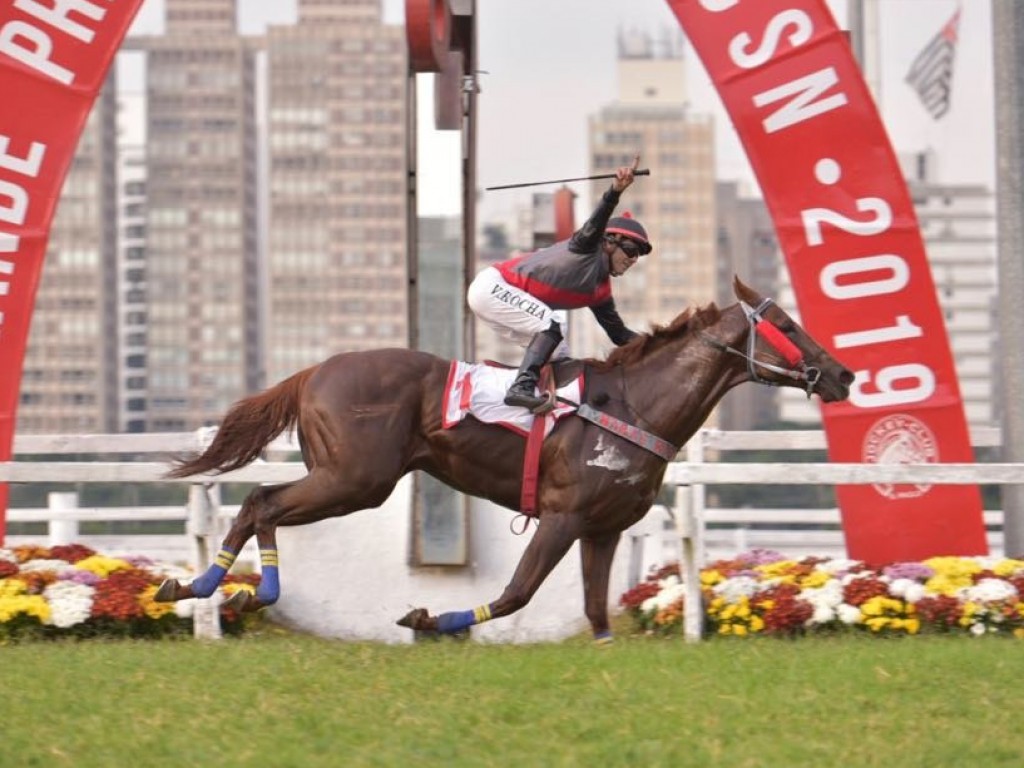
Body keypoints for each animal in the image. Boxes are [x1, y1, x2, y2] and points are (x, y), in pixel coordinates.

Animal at [153, 276, 856, 643]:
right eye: (788, 326)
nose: (843, 374)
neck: (637, 406)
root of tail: (313, 371)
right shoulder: (562, 517)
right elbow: (517, 592)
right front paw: (433, 618)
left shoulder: (602, 528)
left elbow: (597, 614)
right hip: (355, 479)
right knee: (261, 501)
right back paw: (217, 587)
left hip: (347, 479)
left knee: (260, 505)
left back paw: (217, 588)